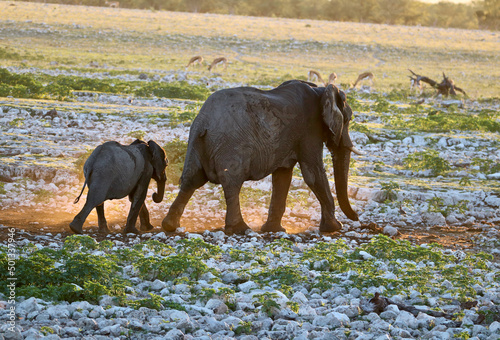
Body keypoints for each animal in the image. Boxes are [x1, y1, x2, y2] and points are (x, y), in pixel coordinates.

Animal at [162, 80, 362, 234]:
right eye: (349, 120)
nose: (357, 217)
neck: (321, 90)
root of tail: (204, 120)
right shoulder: (310, 130)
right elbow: (312, 173)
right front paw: (334, 228)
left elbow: (282, 176)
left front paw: (273, 230)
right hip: (230, 145)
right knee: (231, 183)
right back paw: (241, 229)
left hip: (196, 141)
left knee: (190, 180)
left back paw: (170, 226)